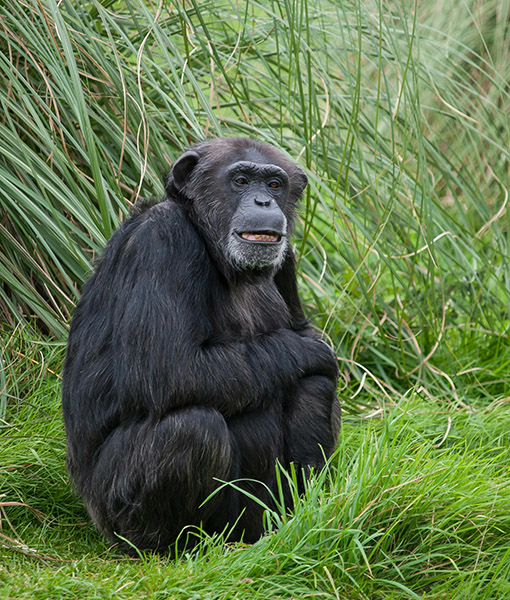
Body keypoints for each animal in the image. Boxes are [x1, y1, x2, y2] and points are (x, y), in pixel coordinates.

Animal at [61, 136, 340, 552]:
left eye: (275, 184)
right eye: (241, 180)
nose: (263, 201)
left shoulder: (287, 258)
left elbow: (302, 331)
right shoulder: (161, 242)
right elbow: (170, 367)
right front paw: (316, 351)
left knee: (314, 386)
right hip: (113, 515)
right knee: (193, 428)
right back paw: (176, 546)